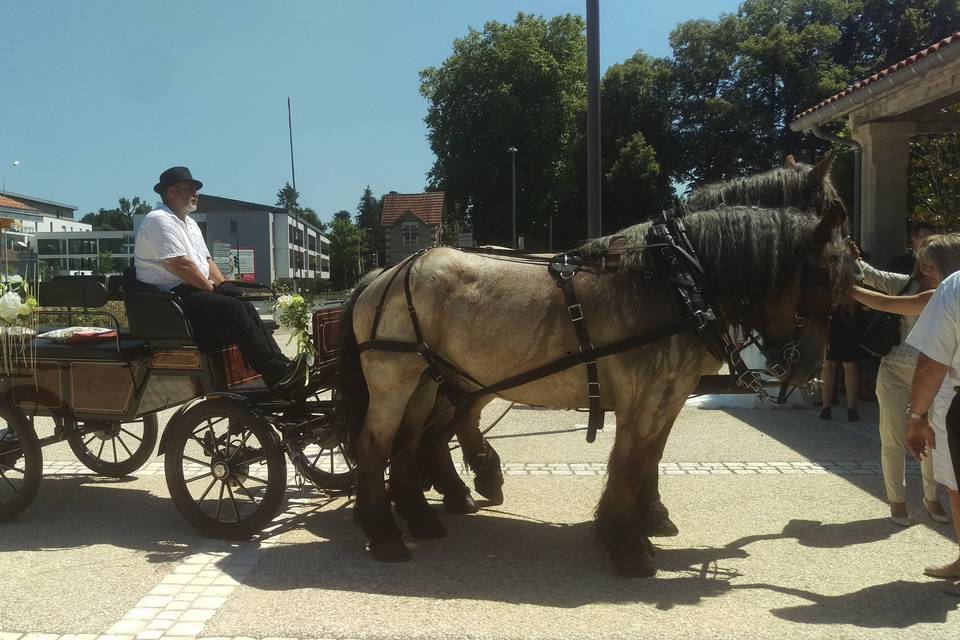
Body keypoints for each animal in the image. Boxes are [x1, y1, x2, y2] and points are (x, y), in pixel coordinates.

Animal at [340, 199, 856, 576]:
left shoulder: (670, 393)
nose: (808, 365)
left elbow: (649, 458)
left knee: (412, 443)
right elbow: (628, 464)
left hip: (432, 381)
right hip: (397, 379)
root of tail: (384, 274)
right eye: (822, 274)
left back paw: (423, 514)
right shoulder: (646, 394)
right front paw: (626, 545)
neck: (677, 280)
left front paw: (642, 522)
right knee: (376, 446)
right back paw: (385, 533)